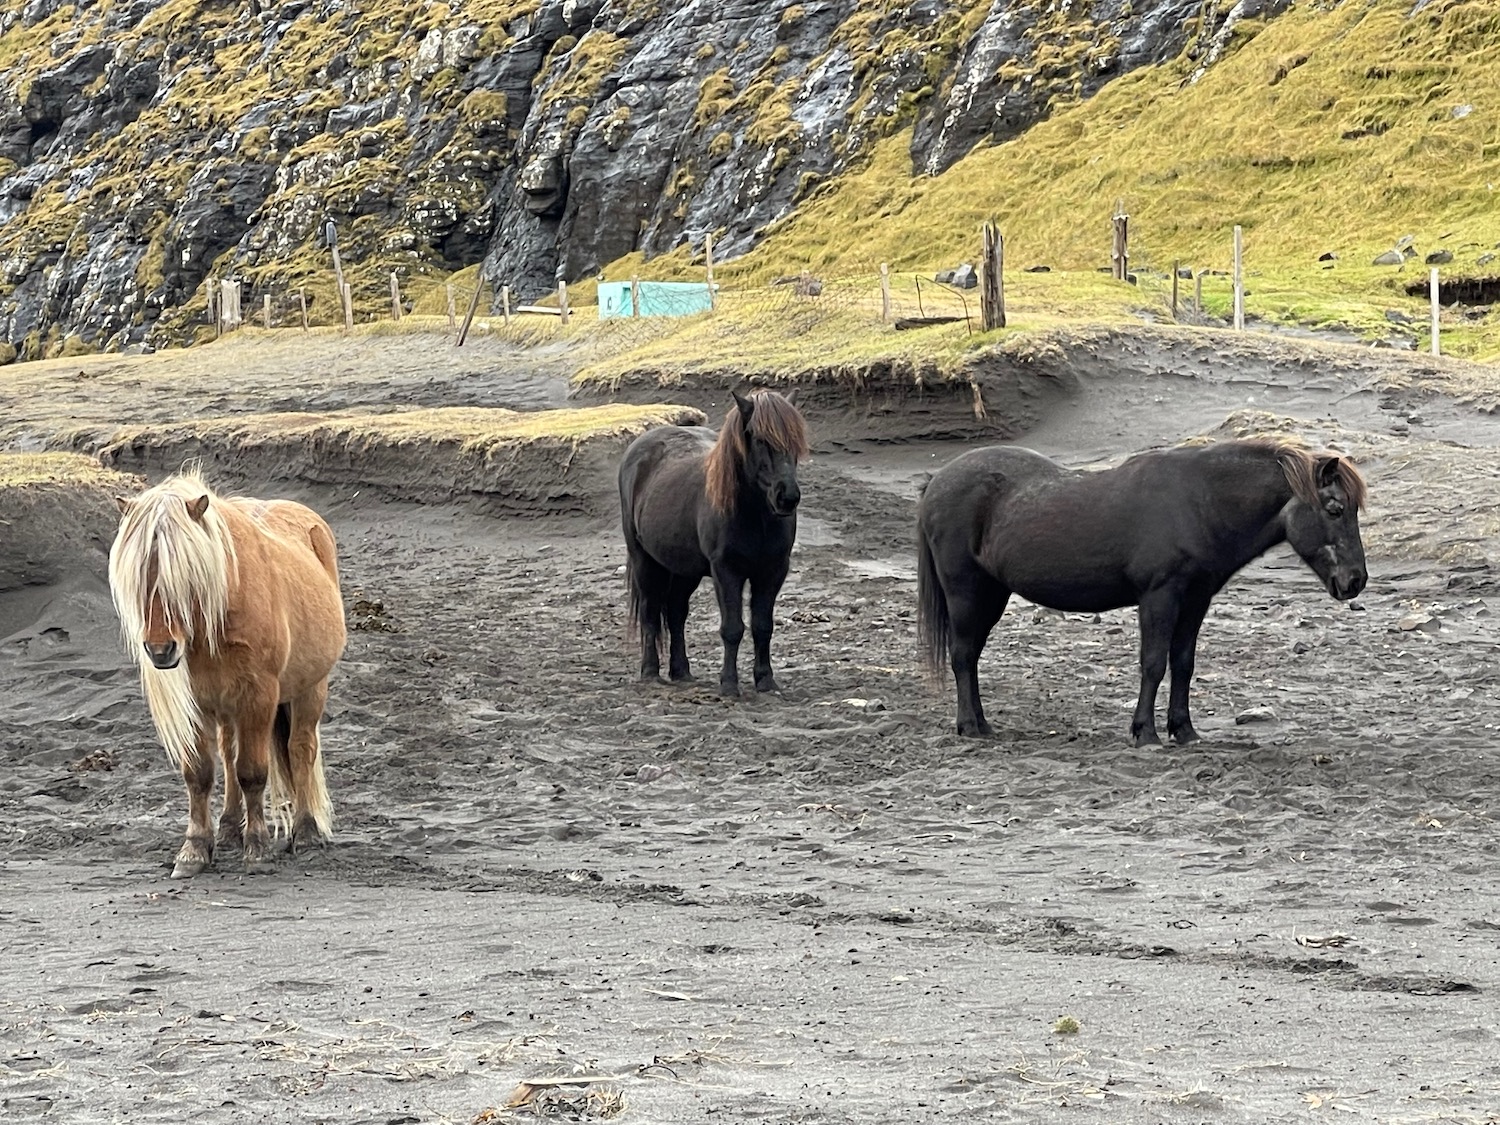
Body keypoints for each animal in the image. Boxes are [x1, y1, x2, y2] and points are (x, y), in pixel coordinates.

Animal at [109, 471, 346, 876]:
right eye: (139, 578)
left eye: (187, 577)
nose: (161, 650)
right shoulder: (196, 703)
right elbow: (201, 773)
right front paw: (194, 849)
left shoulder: (259, 696)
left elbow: (252, 771)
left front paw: (257, 847)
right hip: (225, 709)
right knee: (229, 754)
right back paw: (229, 829)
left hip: (309, 689)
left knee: (300, 750)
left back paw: (306, 832)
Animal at [618, 393, 816, 702]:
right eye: (760, 439)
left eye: (795, 439)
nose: (787, 497)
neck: (754, 516)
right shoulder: (726, 572)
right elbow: (732, 628)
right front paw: (729, 684)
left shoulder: (773, 572)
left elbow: (763, 626)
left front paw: (766, 681)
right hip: (644, 561)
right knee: (650, 612)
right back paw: (651, 674)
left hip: (685, 571)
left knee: (676, 613)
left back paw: (682, 672)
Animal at [912, 441, 1374, 750]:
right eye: (1334, 508)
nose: (1355, 580)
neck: (1199, 501)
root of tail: (937, 482)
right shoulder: (1159, 597)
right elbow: (1153, 664)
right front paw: (1145, 732)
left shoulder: (1195, 601)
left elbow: (1183, 665)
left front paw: (1184, 730)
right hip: (966, 591)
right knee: (963, 655)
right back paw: (971, 726)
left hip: (991, 595)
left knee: (969, 656)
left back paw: (981, 724)